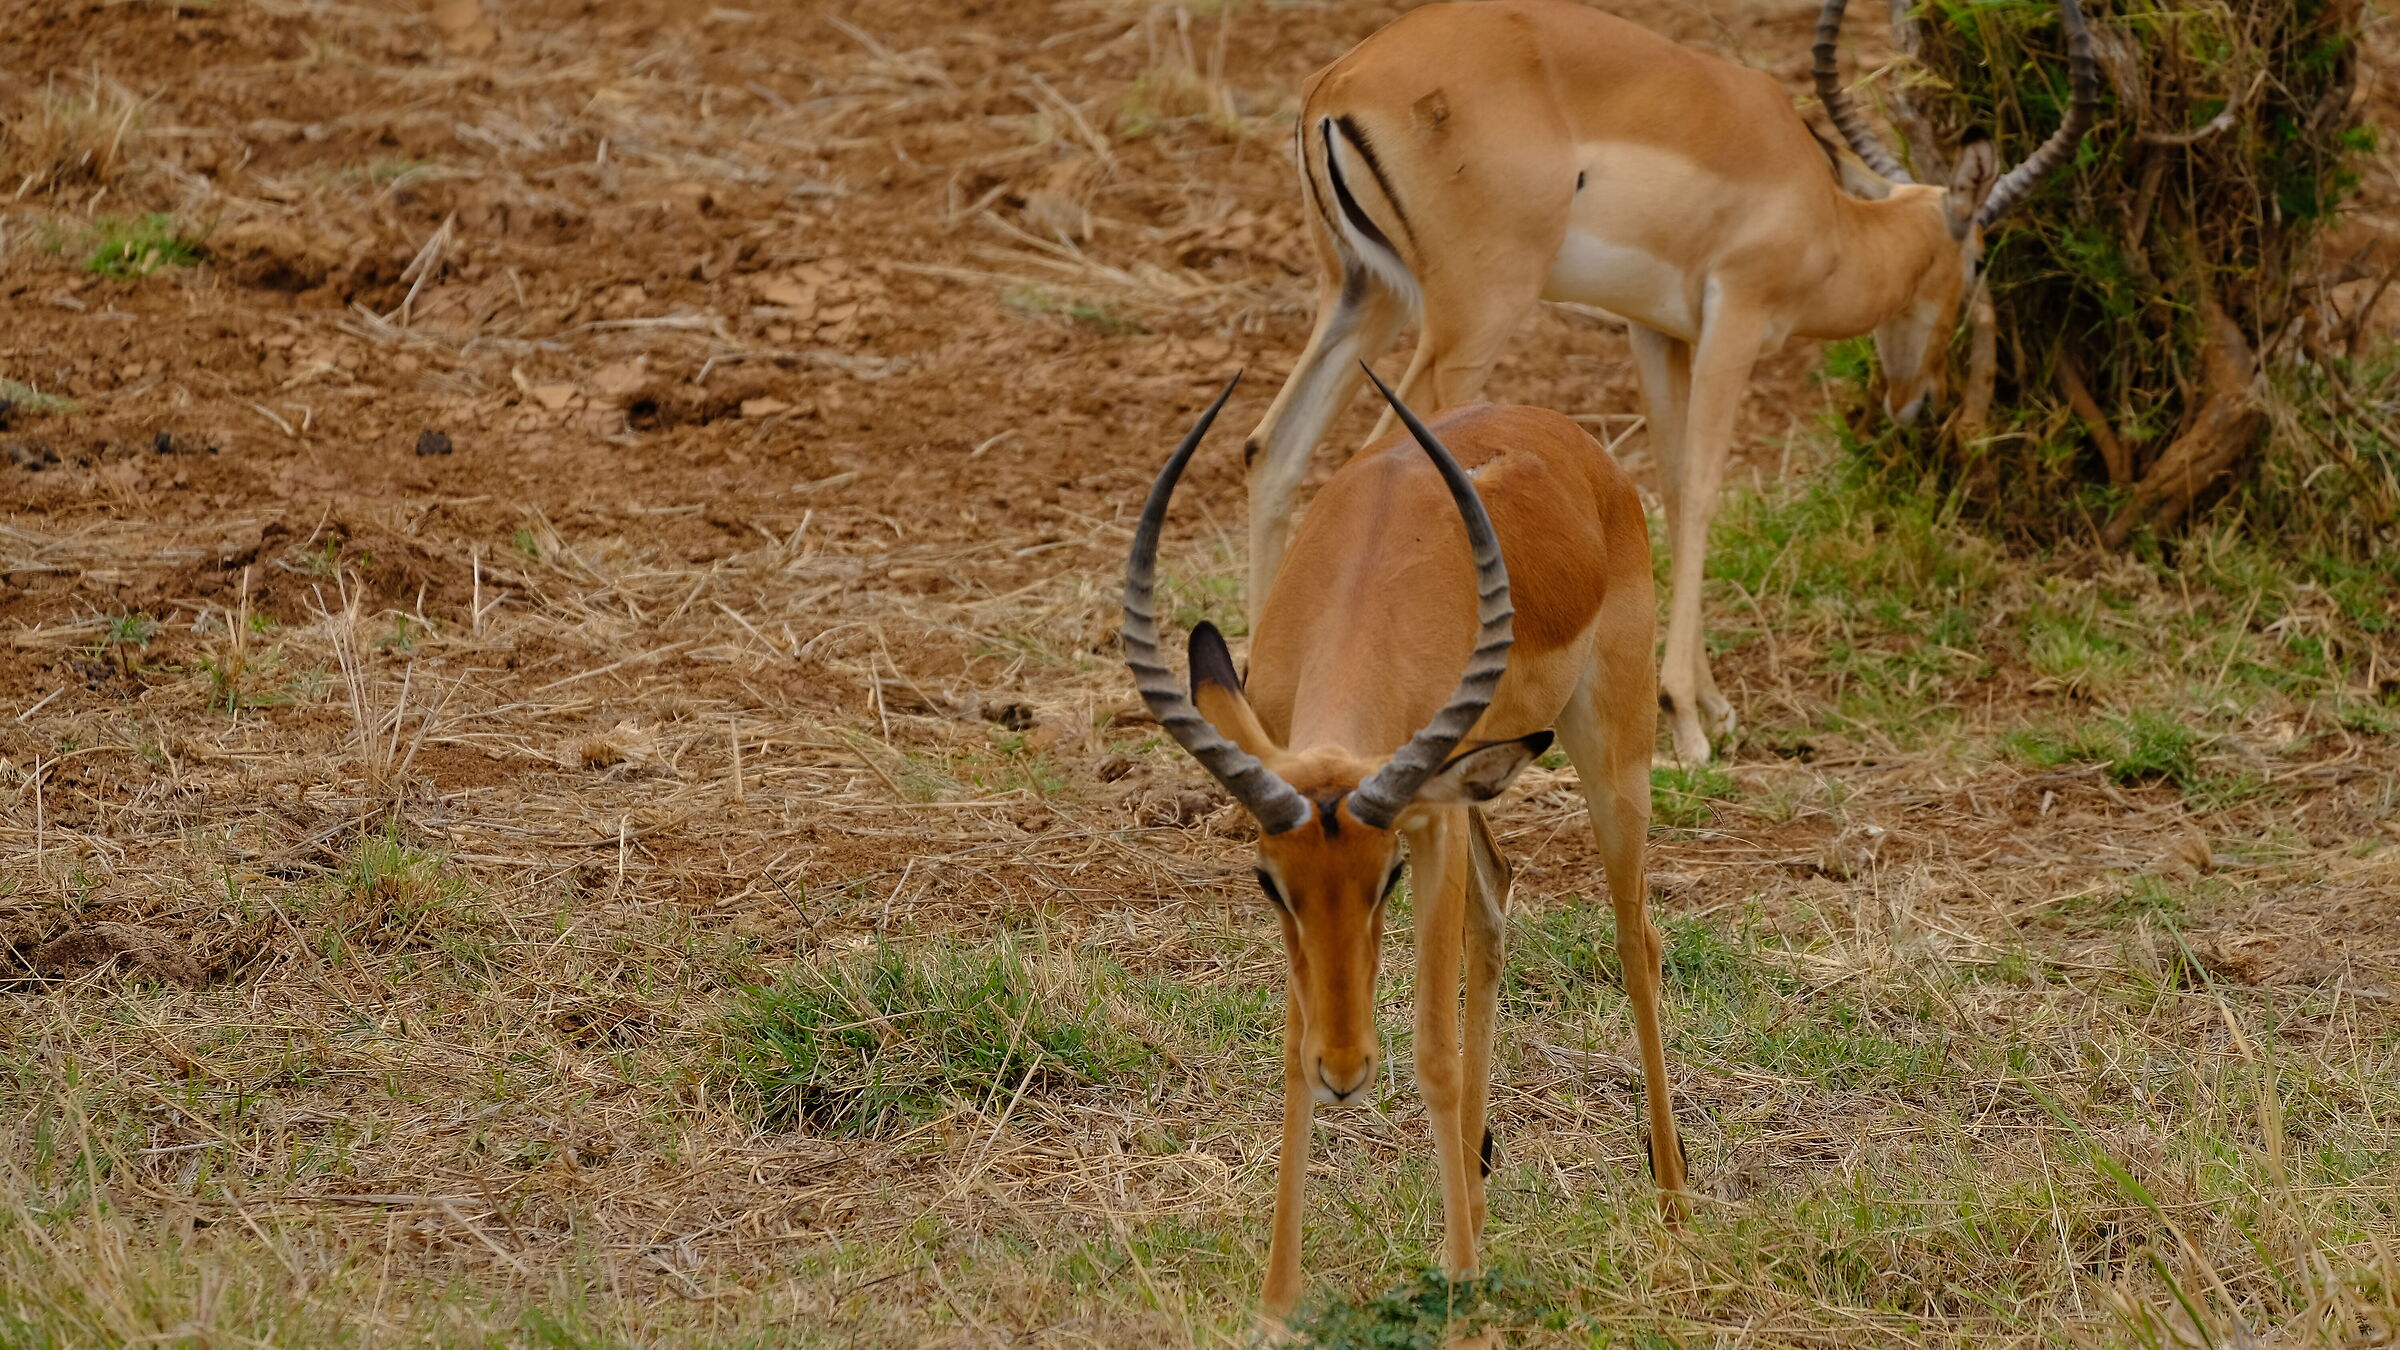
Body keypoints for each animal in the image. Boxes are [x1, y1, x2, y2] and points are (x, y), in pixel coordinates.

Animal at [1125, 370, 1681, 1318]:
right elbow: (1290, 1055)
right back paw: (1481, 1194)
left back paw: (1674, 1202)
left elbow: (1433, 1050)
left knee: (1633, 934)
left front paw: (1458, 1285)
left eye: (1381, 878)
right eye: (1269, 884)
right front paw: (1278, 1301)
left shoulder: (1427, 822)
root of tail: (1573, 441)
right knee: (1497, 907)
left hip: (1609, 749)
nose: (1348, 1072)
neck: (1361, 589)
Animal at [1241, 0, 2098, 762]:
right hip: (1472, 317)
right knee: (1379, 464)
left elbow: (1678, 490)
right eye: (1978, 261)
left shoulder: (1656, 334)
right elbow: (1708, 492)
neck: (1821, 212)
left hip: (1363, 295)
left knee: (1273, 449)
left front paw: (1711, 704)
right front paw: (1686, 720)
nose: (1921, 402)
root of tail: (1337, 83)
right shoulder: (1736, 321)